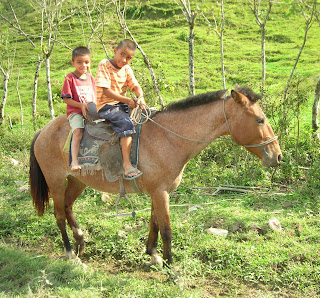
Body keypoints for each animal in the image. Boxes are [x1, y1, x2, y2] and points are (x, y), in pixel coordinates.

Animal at [28, 85, 282, 266]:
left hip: (77, 181)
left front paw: (152, 254)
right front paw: (172, 268)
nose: (277, 156)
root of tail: (43, 130)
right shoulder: (160, 192)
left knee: (68, 207)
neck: (168, 138)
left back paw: (80, 240)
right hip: (56, 181)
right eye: (260, 120)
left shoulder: (158, 192)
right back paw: (70, 252)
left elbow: (155, 223)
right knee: (59, 215)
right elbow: (167, 229)